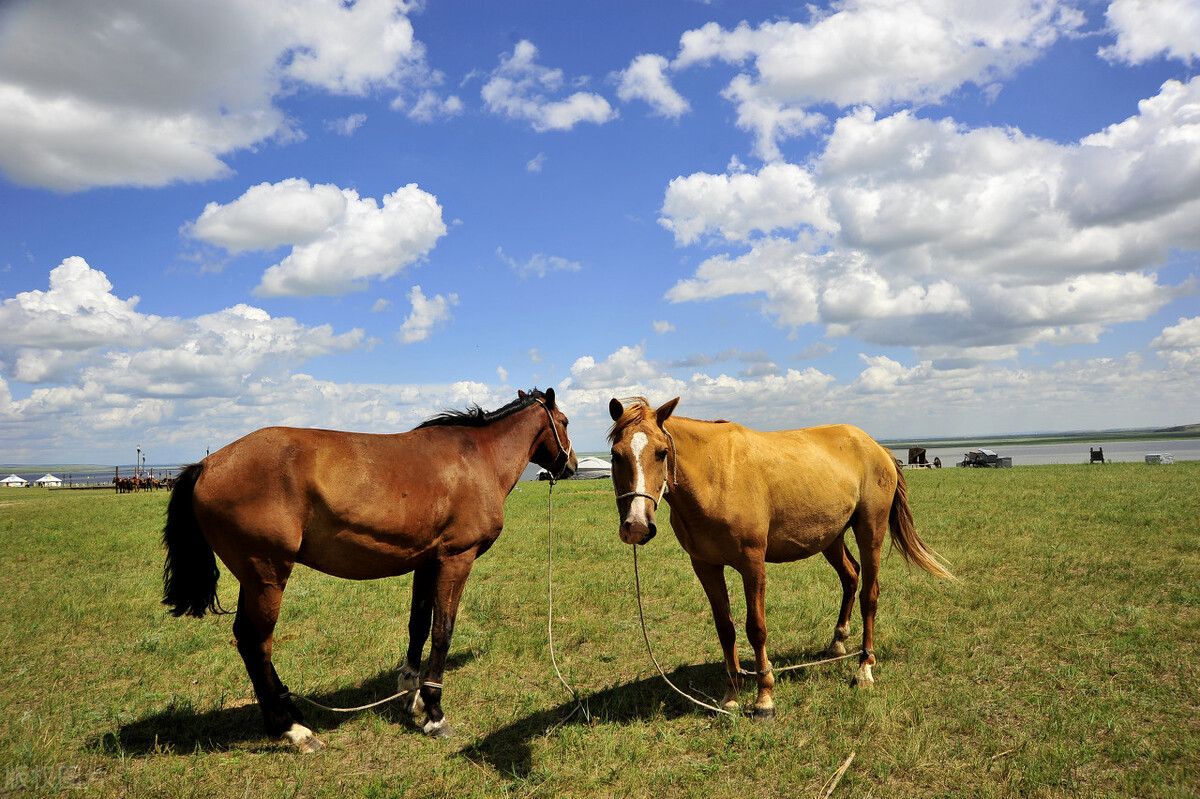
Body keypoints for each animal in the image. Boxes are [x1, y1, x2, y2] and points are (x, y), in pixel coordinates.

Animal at [164, 386, 576, 748]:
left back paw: (289, 712)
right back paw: (292, 729)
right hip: (268, 576)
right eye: (565, 421)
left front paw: (411, 691)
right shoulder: (456, 560)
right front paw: (435, 712)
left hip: (253, 580)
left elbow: (418, 626)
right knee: (256, 643)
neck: (475, 457)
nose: (571, 465)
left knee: (246, 639)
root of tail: (208, 463)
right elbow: (442, 632)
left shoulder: (427, 562)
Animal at [609, 395, 955, 715]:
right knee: (850, 575)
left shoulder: (752, 564)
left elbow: (756, 628)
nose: (636, 526)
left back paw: (864, 667)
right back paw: (838, 641)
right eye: (615, 454)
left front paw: (764, 697)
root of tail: (877, 448)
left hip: (871, 532)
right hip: (830, 538)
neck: (716, 475)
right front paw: (732, 693)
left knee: (870, 593)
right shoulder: (706, 566)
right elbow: (726, 629)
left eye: (661, 452)